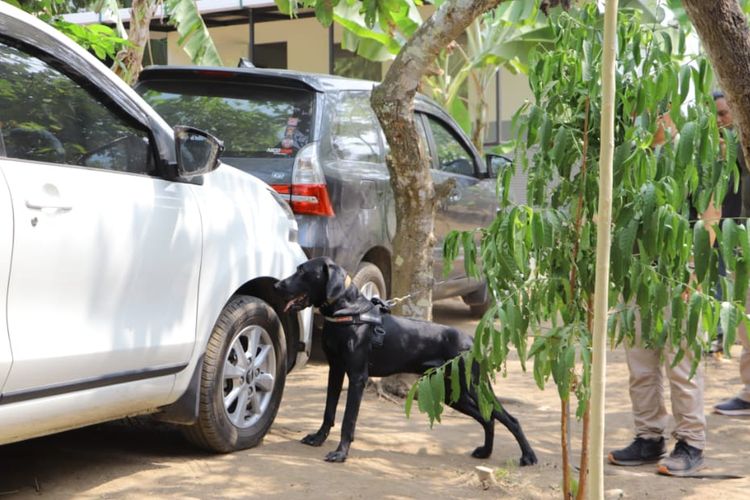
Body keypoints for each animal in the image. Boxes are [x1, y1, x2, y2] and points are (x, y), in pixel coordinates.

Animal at [274, 258, 536, 464]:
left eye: (302, 271)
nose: (276, 285)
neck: (347, 312)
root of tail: (470, 340)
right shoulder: (336, 370)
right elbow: (328, 411)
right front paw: (318, 438)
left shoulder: (358, 377)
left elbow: (349, 420)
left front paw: (341, 453)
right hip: (455, 394)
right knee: (487, 417)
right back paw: (485, 452)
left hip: (472, 385)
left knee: (508, 418)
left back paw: (528, 456)